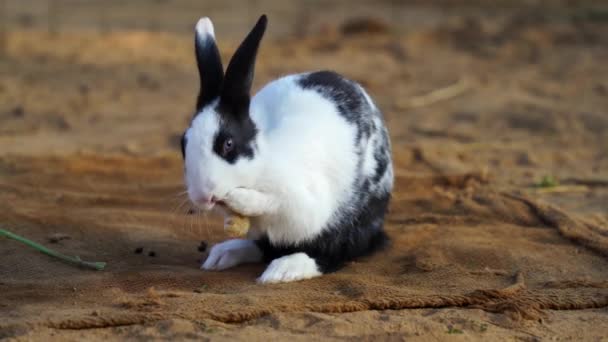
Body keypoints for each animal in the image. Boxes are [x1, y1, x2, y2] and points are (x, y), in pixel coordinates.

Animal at [182, 14, 394, 284]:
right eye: (183, 143)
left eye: (228, 144)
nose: (202, 197)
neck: (261, 163)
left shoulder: (303, 201)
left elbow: (274, 201)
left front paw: (239, 198)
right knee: (264, 247)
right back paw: (223, 254)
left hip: (356, 220)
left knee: (334, 253)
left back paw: (282, 270)